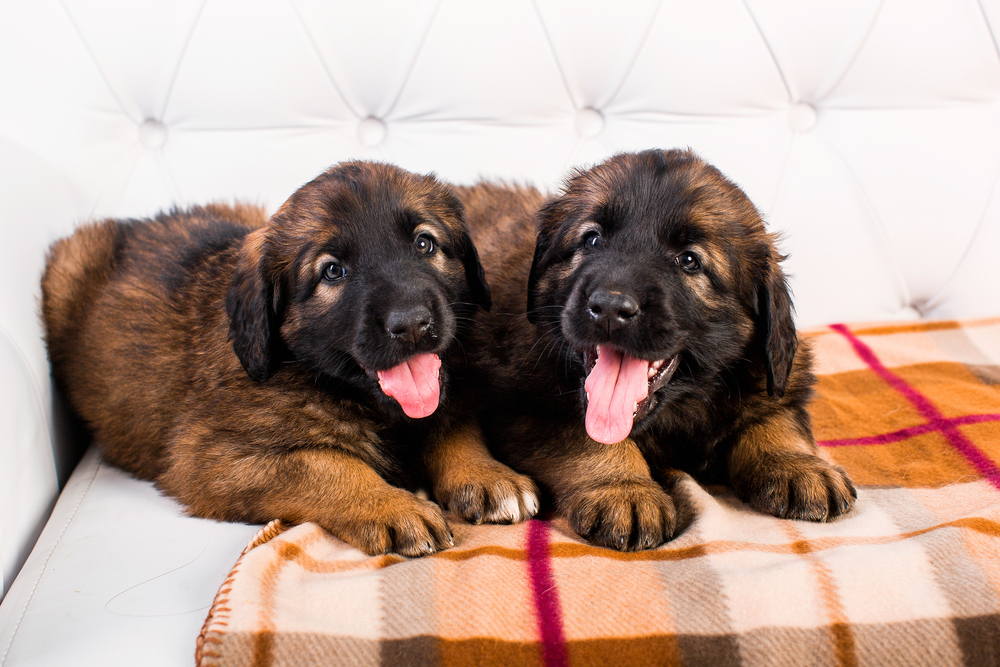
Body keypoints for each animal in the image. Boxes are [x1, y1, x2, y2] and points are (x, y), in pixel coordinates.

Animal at [41, 162, 540, 560]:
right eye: (333, 271)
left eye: (424, 244)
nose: (414, 324)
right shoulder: (208, 458)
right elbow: (325, 464)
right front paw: (393, 506)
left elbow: (453, 425)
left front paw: (487, 474)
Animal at [458, 150, 856, 552]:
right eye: (592, 240)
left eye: (690, 260)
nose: (610, 307)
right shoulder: (528, 403)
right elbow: (587, 439)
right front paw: (624, 489)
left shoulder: (774, 372)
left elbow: (774, 416)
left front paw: (798, 465)